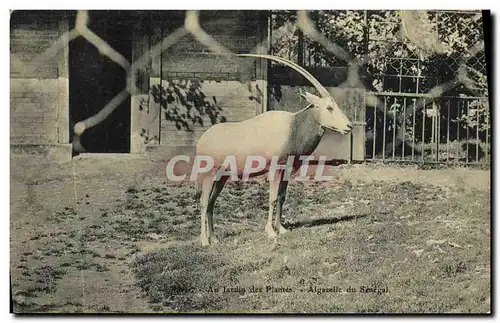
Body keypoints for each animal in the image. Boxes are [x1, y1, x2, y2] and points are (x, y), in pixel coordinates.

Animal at [194, 53, 352, 246]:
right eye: (329, 107)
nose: (349, 126)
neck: (293, 126)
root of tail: (202, 140)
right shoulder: (275, 169)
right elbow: (273, 197)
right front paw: (270, 231)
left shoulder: (287, 170)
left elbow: (282, 197)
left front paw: (281, 229)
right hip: (209, 173)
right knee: (203, 202)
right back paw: (204, 241)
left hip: (221, 177)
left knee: (211, 202)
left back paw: (215, 239)